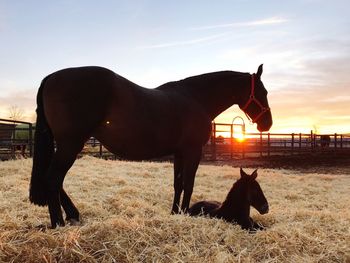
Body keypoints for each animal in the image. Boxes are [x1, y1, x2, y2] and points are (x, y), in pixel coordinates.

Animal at [28, 65, 272, 228]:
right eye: (263, 92)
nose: (267, 124)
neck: (196, 99)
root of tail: (51, 77)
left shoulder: (179, 153)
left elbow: (178, 184)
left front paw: (175, 213)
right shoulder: (193, 151)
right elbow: (189, 185)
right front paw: (185, 214)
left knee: (53, 180)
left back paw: (72, 215)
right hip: (71, 143)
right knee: (53, 179)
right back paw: (59, 223)